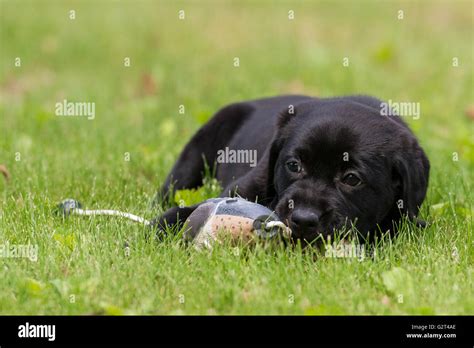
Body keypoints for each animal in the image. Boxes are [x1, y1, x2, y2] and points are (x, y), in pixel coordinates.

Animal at [154, 95, 432, 242]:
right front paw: (156, 229)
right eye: (293, 165)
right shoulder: (241, 188)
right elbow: (190, 209)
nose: (303, 219)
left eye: (352, 179)